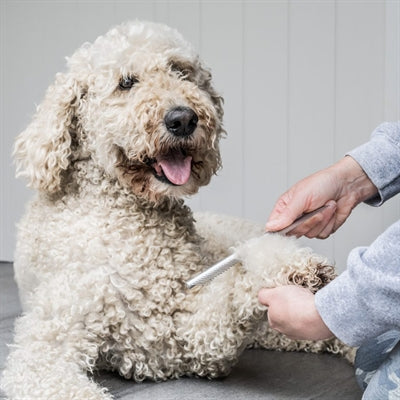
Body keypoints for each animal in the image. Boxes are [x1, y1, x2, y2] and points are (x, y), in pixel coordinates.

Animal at [1, 21, 352, 400]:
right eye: (126, 82)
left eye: (180, 71)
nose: (182, 119)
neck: (131, 220)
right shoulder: (52, 350)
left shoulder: (187, 331)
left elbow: (237, 280)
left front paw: (293, 266)